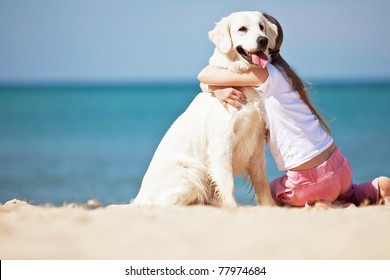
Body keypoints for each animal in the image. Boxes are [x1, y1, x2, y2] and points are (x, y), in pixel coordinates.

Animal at [133, 10, 278, 207]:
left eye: (261, 27)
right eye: (242, 29)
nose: (263, 40)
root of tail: (139, 198)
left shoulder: (255, 140)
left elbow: (262, 180)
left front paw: (270, 207)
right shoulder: (222, 140)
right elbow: (227, 181)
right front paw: (232, 207)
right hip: (191, 173)